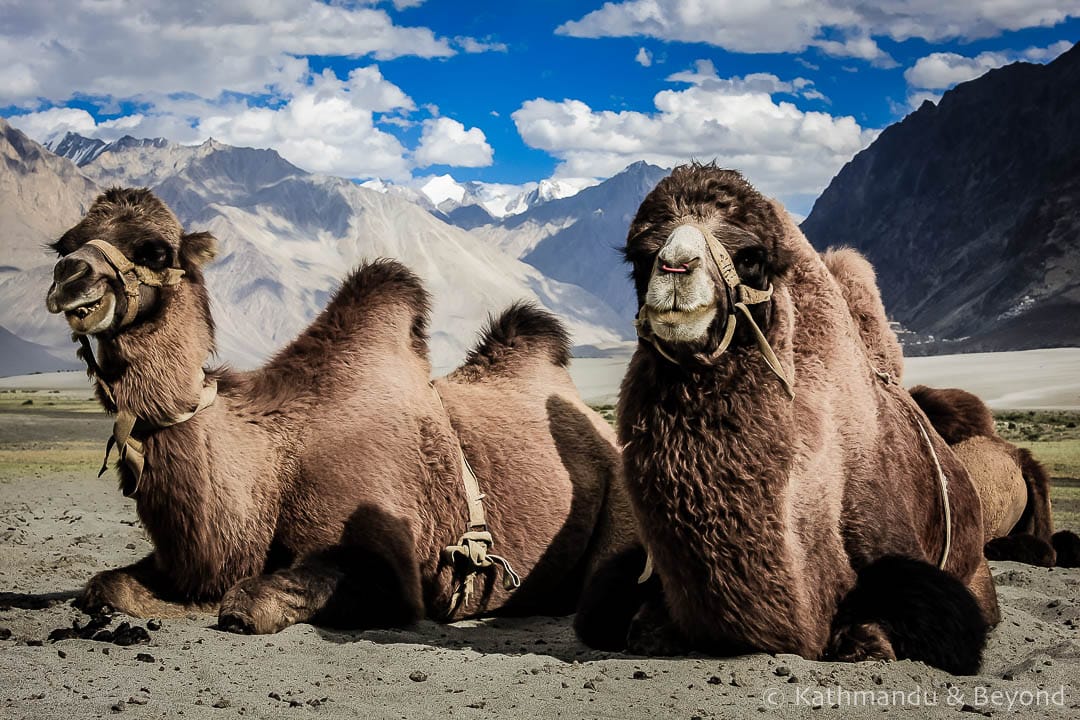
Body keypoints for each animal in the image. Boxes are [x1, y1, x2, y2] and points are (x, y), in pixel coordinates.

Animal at [44, 188, 630, 634]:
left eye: (156, 251)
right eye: (65, 243)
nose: (70, 277)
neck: (272, 462)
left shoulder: (393, 567)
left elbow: (245, 602)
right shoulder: (201, 562)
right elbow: (104, 586)